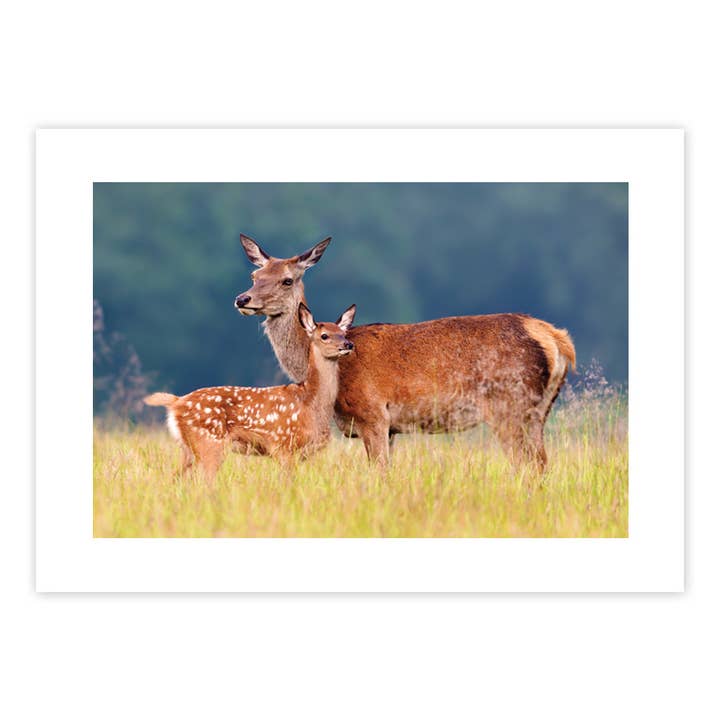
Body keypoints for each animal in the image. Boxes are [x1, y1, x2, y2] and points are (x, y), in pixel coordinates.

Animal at [144, 302, 356, 479]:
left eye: (344, 333)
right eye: (324, 335)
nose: (348, 345)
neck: (310, 402)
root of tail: (176, 402)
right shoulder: (282, 444)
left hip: (188, 448)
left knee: (174, 477)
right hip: (209, 442)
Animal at [234, 234, 576, 471]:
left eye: (287, 279)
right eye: (254, 276)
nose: (242, 299)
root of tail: (556, 339)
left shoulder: (372, 413)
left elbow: (380, 473)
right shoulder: (392, 429)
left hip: (511, 405)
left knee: (529, 466)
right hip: (539, 411)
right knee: (542, 464)